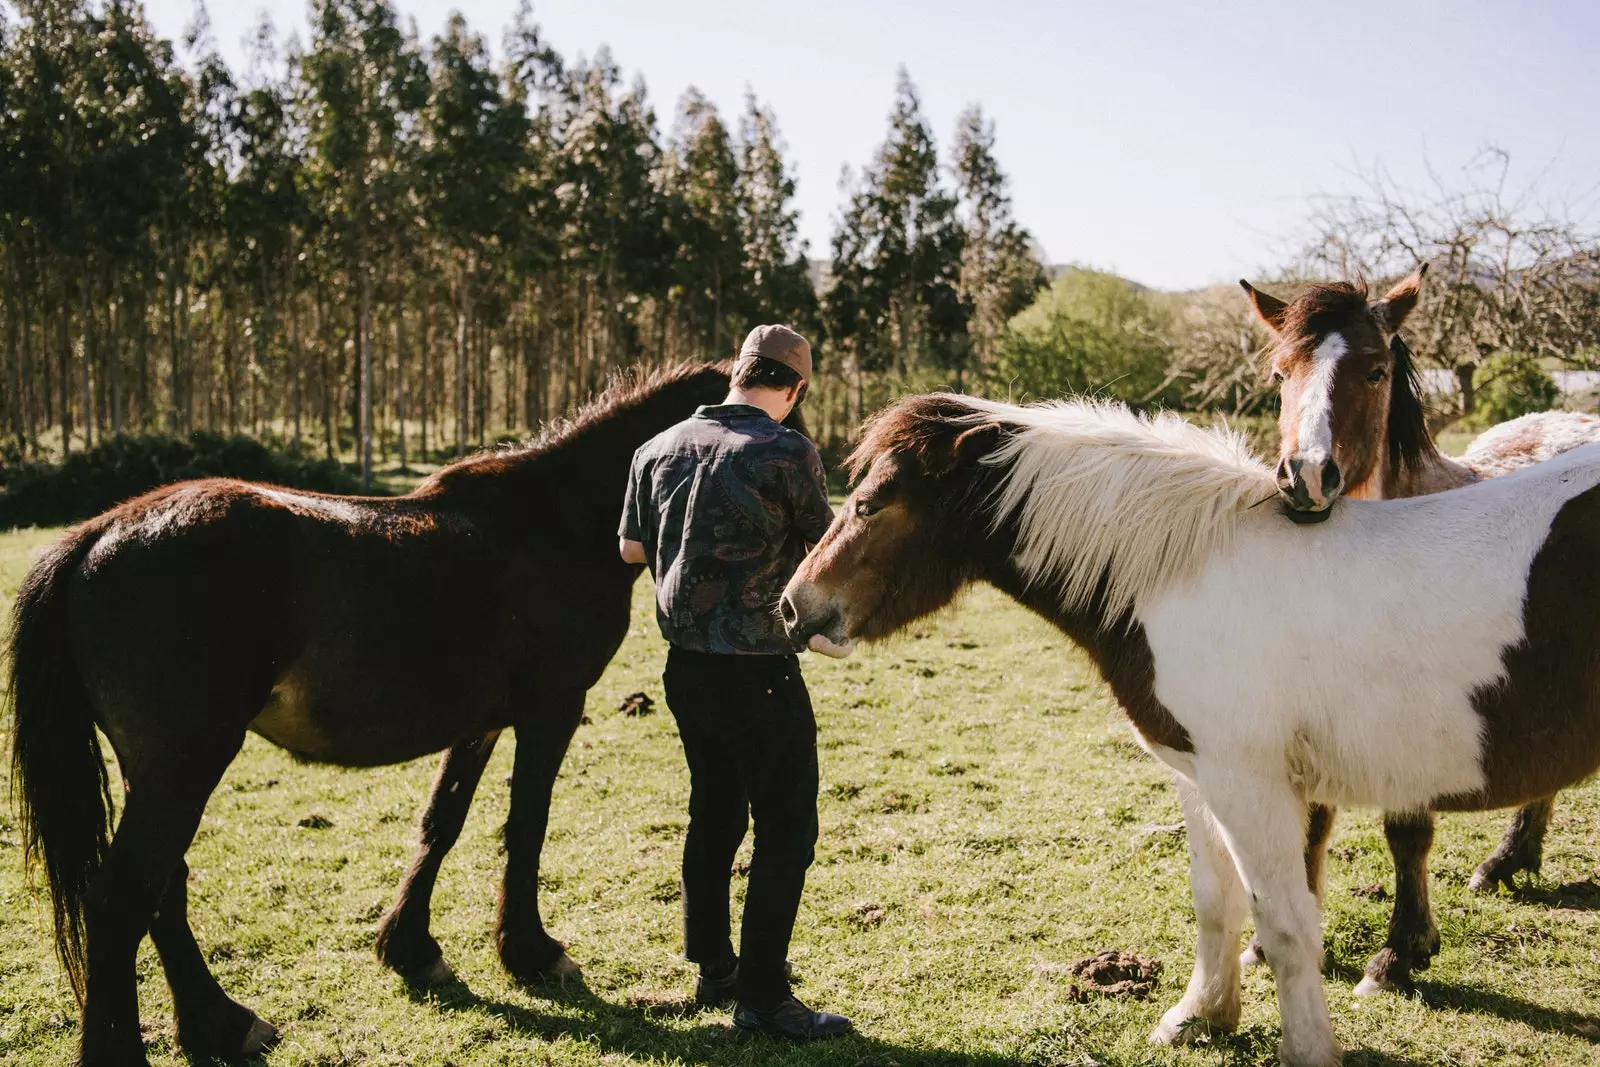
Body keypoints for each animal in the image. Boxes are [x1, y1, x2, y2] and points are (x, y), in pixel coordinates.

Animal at [7, 364, 761, 1067]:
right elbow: (527, 825)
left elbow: (442, 822)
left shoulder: (482, 722)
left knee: (163, 888)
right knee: (123, 898)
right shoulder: (551, 708)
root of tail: (94, 536)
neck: (556, 520)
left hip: (159, 773)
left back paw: (219, 1025)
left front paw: (411, 948)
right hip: (183, 765)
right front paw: (531, 952)